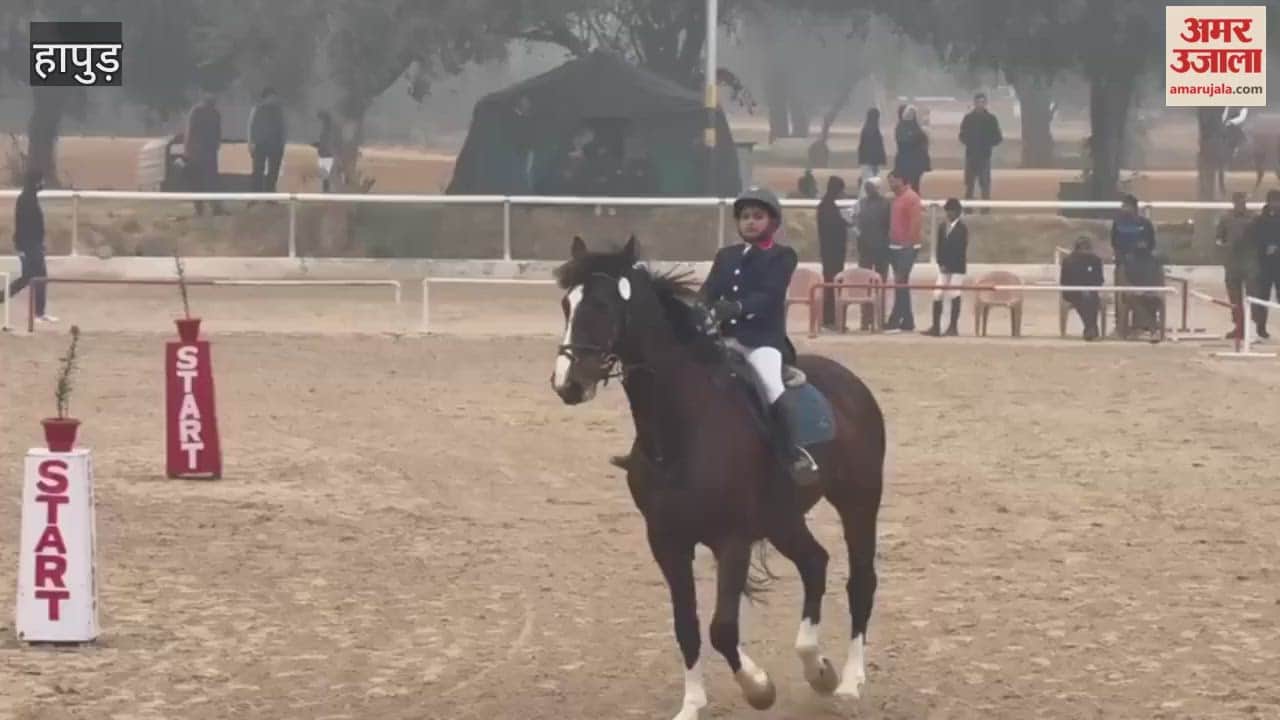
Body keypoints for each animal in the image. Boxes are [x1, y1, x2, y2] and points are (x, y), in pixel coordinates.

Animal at [549, 235, 886, 719]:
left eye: (603, 305)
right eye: (566, 304)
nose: (568, 384)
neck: (680, 432)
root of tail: (850, 383)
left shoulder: (732, 539)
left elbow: (722, 628)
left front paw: (759, 688)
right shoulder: (667, 541)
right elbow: (687, 625)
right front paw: (692, 704)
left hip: (858, 502)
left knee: (860, 581)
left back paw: (849, 682)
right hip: (783, 519)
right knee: (815, 563)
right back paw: (818, 668)